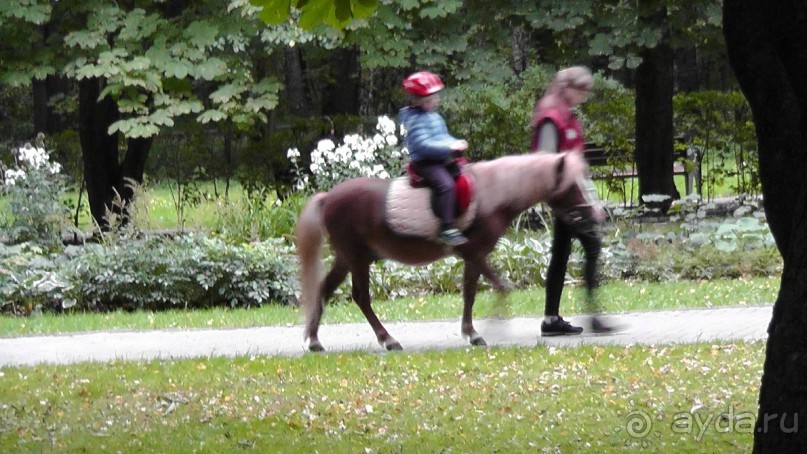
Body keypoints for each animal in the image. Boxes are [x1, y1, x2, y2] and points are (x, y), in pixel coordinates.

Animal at [294, 149, 596, 352]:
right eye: (573, 185)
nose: (596, 215)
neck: (492, 195)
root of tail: (328, 197)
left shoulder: (473, 258)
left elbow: (471, 293)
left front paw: (473, 332)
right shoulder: (474, 253)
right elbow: (498, 288)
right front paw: (486, 329)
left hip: (347, 257)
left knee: (324, 290)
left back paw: (314, 340)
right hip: (357, 258)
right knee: (361, 297)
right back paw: (388, 340)